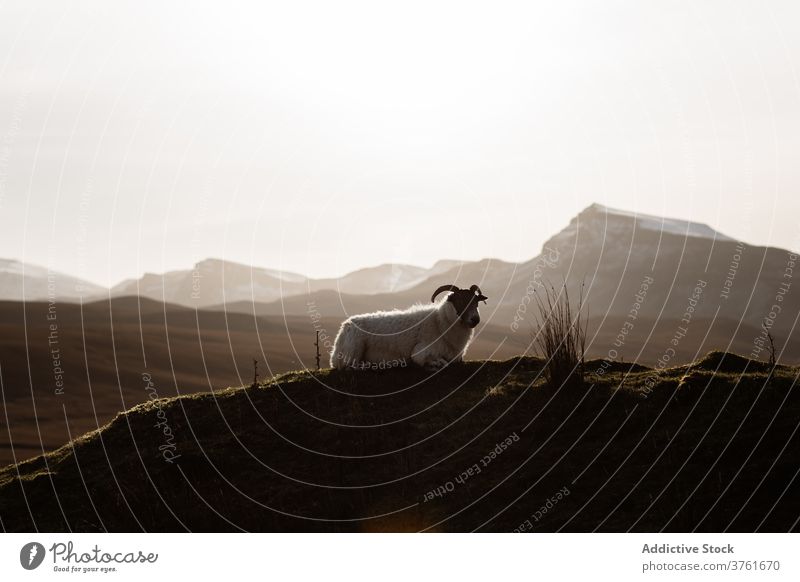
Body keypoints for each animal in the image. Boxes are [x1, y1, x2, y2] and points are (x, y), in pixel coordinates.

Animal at [330, 286, 488, 372]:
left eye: (476, 302)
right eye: (460, 301)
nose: (475, 319)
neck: (440, 323)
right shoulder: (420, 351)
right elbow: (437, 362)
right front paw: (435, 364)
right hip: (354, 348)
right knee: (348, 366)